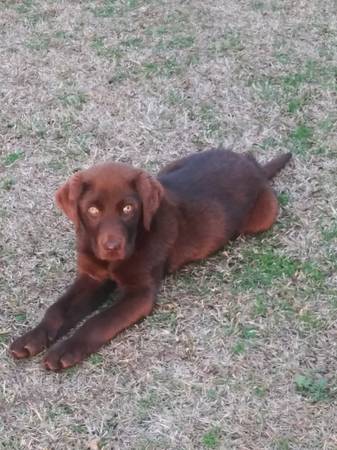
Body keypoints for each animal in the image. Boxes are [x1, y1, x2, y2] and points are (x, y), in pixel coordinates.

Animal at [9, 149, 290, 370]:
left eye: (128, 208)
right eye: (92, 210)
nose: (112, 247)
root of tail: (253, 165)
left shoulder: (140, 294)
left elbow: (99, 321)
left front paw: (65, 350)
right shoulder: (92, 276)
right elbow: (57, 309)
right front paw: (32, 338)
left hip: (264, 216)